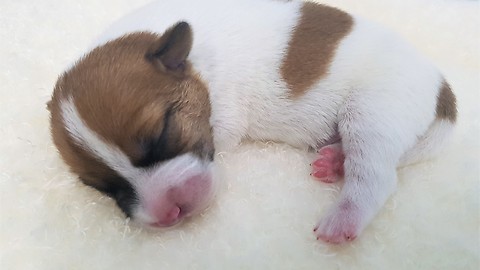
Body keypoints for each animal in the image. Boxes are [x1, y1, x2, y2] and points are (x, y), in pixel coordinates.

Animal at [48, 0, 458, 245]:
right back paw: (335, 160)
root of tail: (443, 92)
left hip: (373, 111)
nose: (171, 213)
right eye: (104, 188)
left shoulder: (224, 118)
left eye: (163, 133)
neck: (197, 60)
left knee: (377, 175)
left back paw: (345, 217)